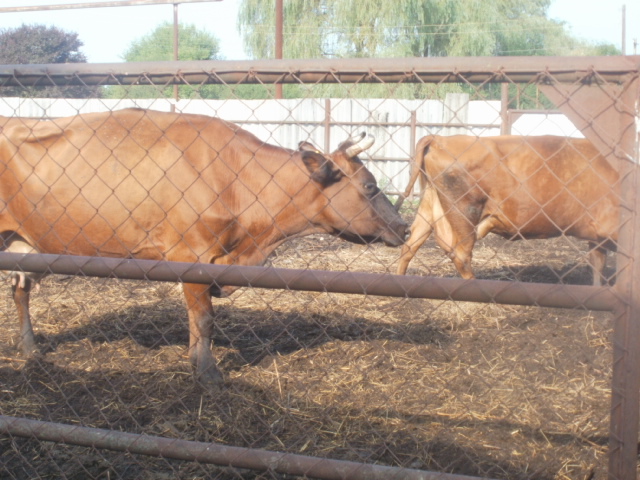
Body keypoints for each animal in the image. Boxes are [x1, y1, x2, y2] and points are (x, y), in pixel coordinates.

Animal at [0, 108, 408, 386]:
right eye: (370, 185)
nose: (403, 226)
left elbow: (198, 321)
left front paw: (195, 361)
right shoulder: (191, 256)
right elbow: (204, 320)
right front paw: (208, 372)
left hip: (23, 243)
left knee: (20, 291)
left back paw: (31, 349)